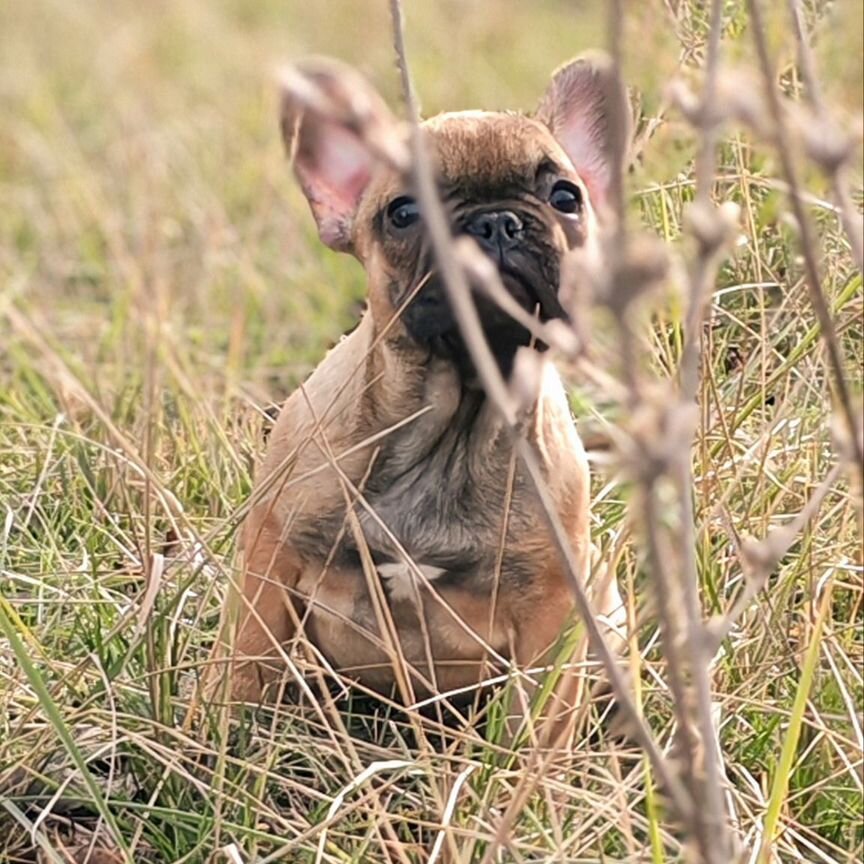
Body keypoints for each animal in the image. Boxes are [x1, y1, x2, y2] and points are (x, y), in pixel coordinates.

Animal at [228, 57, 620, 712]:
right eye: (404, 213)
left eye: (566, 197)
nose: (496, 222)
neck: (456, 410)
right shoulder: (271, 561)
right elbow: (243, 666)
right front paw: (222, 726)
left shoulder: (551, 612)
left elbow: (537, 717)